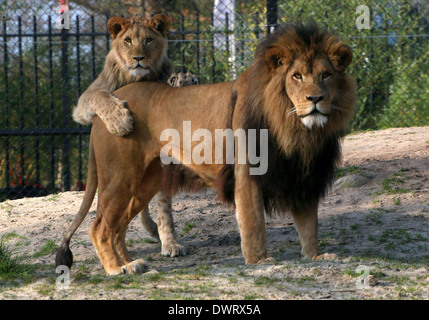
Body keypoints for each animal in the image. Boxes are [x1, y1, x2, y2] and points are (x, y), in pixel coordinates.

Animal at [57, 21, 358, 276]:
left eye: (326, 75)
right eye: (296, 76)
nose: (315, 98)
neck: (295, 127)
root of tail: (107, 104)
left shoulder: (304, 174)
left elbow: (309, 223)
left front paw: (315, 256)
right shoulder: (247, 172)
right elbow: (253, 222)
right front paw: (259, 261)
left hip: (145, 181)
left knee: (117, 226)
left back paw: (132, 264)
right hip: (120, 177)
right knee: (98, 227)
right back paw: (116, 269)